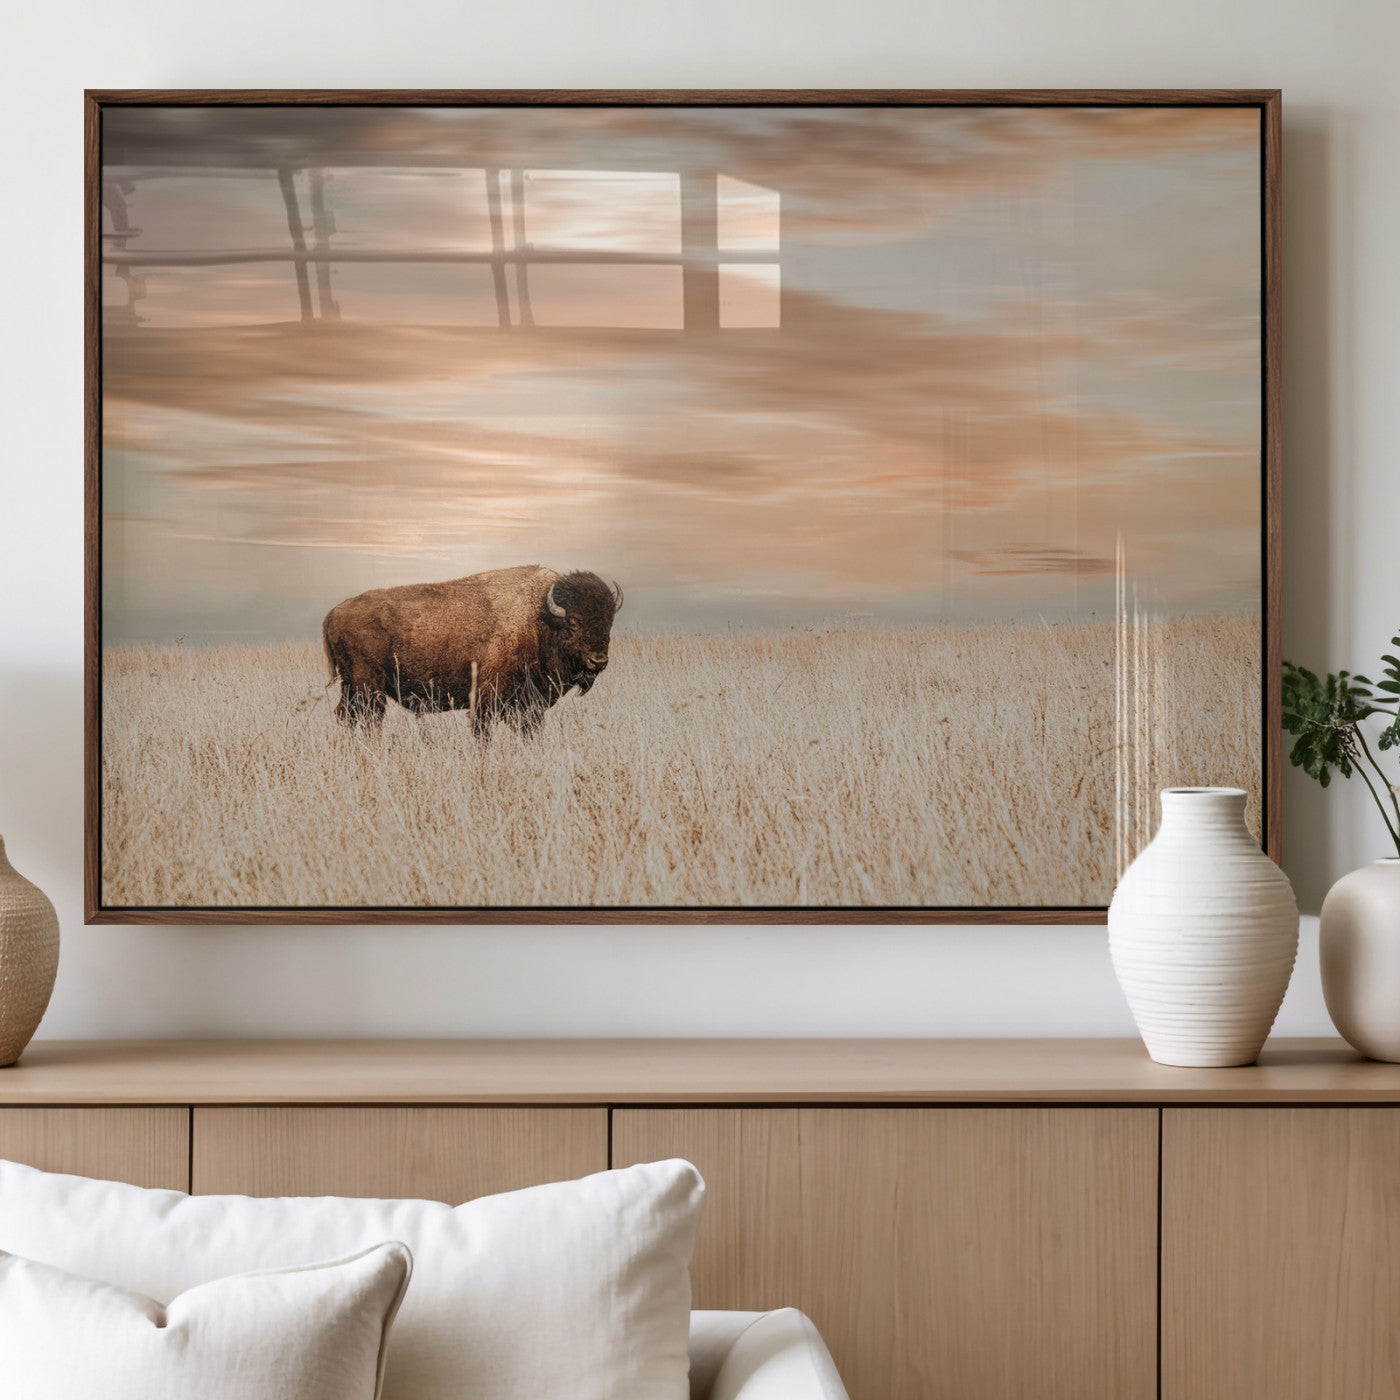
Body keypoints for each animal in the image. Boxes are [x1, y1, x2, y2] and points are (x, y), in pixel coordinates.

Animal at [322, 564, 623, 735]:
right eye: (574, 623)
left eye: (608, 621)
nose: (597, 661)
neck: (540, 619)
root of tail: (334, 612)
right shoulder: (487, 698)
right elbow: (482, 732)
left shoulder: (528, 705)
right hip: (366, 688)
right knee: (367, 719)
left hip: (353, 688)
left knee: (346, 717)